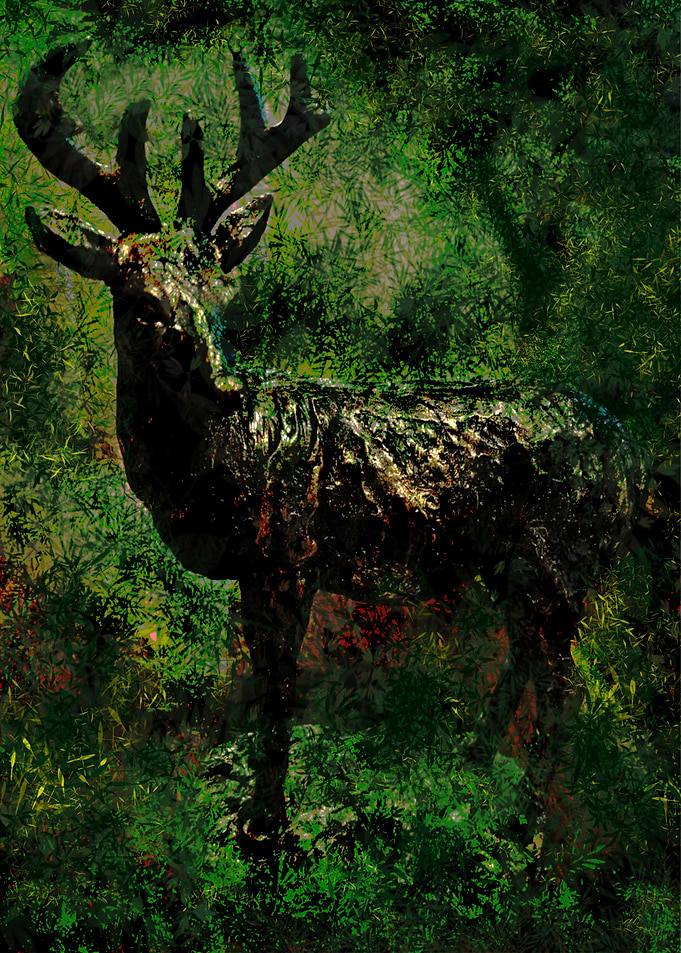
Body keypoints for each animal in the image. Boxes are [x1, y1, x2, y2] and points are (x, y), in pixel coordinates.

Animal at [14, 40, 646, 852]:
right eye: (142, 302)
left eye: (221, 295)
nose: (220, 384)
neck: (219, 467)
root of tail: (631, 455)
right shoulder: (256, 570)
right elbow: (258, 685)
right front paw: (256, 808)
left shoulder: (290, 551)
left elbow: (281, 689)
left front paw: (264, 822)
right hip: (516, 567)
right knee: (524, 665)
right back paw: (475, 761)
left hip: (560, 559)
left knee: (562, 689)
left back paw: (529, 827)